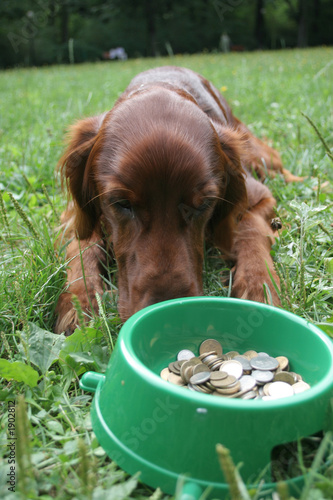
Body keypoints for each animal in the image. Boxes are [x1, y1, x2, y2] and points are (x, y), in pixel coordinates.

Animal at [55, 65, 298, 336]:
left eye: (203, 204)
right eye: (121, 203)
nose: (168, 322)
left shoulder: (260, 196)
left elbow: (250, 228)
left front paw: (258, 285)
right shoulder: (72, 215)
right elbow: (82, 244)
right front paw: (79, 300)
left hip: (259, 155)